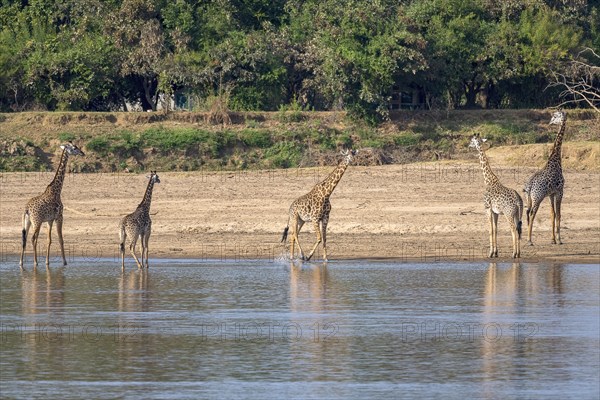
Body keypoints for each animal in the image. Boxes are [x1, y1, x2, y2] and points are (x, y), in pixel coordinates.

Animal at [524, 111, 568, 245]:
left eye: (555, 116)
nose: (550, 122)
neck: (556, 160)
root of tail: (529, 186)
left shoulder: (551, 194)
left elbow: (552, 214)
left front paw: (553, 239)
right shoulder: (560, 191)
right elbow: (559, 214)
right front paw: (559, 239)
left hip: (529, 198)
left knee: (526, 213)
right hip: (537, 198)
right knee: (532, 213)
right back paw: (529, 240)